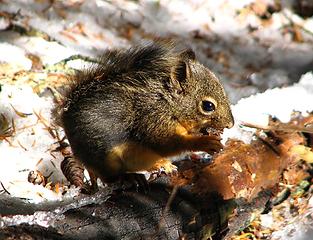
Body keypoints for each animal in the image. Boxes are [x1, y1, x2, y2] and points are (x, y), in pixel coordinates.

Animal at [54, 39, 233, 191]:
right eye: (208, 106)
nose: (230, 124)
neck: (168, 104)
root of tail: (66, 115)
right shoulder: (151, 119)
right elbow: (166, 142)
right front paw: (204, 142)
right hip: (104, 157)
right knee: (109, 178)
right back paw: (131, 177)